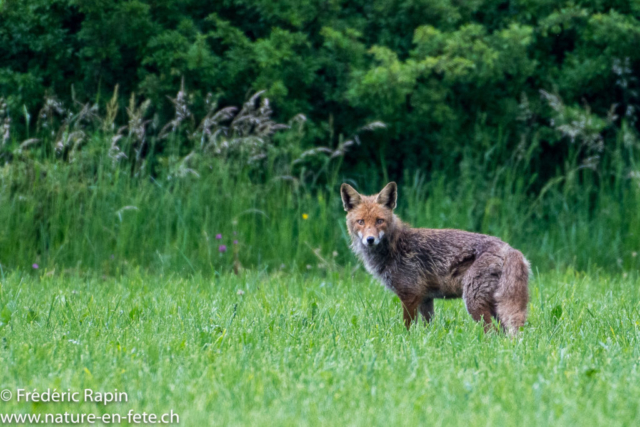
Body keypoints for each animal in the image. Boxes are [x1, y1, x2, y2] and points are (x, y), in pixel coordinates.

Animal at [341, 181, 529, 334]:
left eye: (379, 221)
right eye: (361, 222)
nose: (370, 240)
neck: (394, 246)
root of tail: (509, 248)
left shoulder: (409, 295)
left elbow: (407, 327)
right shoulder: (425, 298)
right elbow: (427, 328)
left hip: (474, 303)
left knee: (493, 333)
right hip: (496, 306)